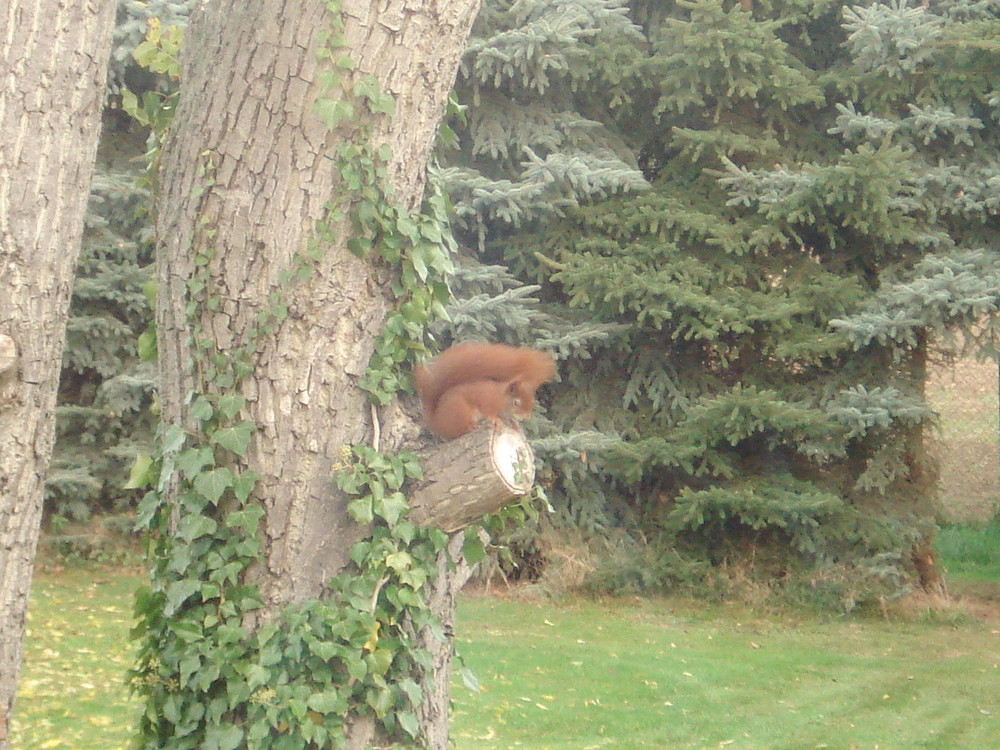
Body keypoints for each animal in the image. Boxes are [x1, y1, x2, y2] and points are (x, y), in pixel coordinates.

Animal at [412, 342, 560, 440]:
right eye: (516, 403)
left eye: (532, 402)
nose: (526, 417)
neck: (500, 397)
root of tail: (437, 423)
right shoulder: (487, 400)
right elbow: (489, 412)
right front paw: (496, 420)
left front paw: (514, 424)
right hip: (460, 411)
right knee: (457, 431)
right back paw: (471, 426)